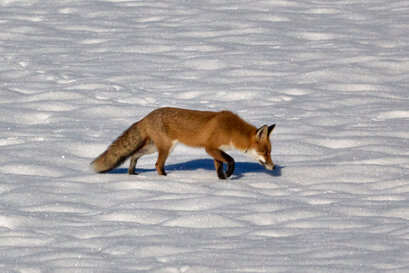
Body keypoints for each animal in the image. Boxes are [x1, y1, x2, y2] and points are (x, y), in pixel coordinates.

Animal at [90, 106, 274, 178]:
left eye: (270, 152)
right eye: (265, 152)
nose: (273, 167)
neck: (231, 129)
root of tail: (147, 116)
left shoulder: (216, 150)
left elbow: (219, 167)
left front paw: (223, 179)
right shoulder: (210, 147)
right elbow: (231, 160)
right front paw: (229, 174)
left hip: (153, 147)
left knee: (134, 154)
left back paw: (132, 173)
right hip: (166, 148)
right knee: (158, 165)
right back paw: (165, 179)